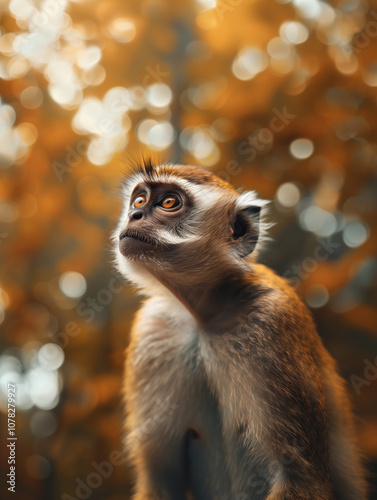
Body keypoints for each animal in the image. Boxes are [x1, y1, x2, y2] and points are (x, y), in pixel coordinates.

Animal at [113, 160, 366, 500]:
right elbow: (161, 478)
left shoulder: (270, 321)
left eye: (169, 203)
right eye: (139, 200)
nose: (135, 215)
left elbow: (301, 476)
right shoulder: (154, 330)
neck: (206, 315)